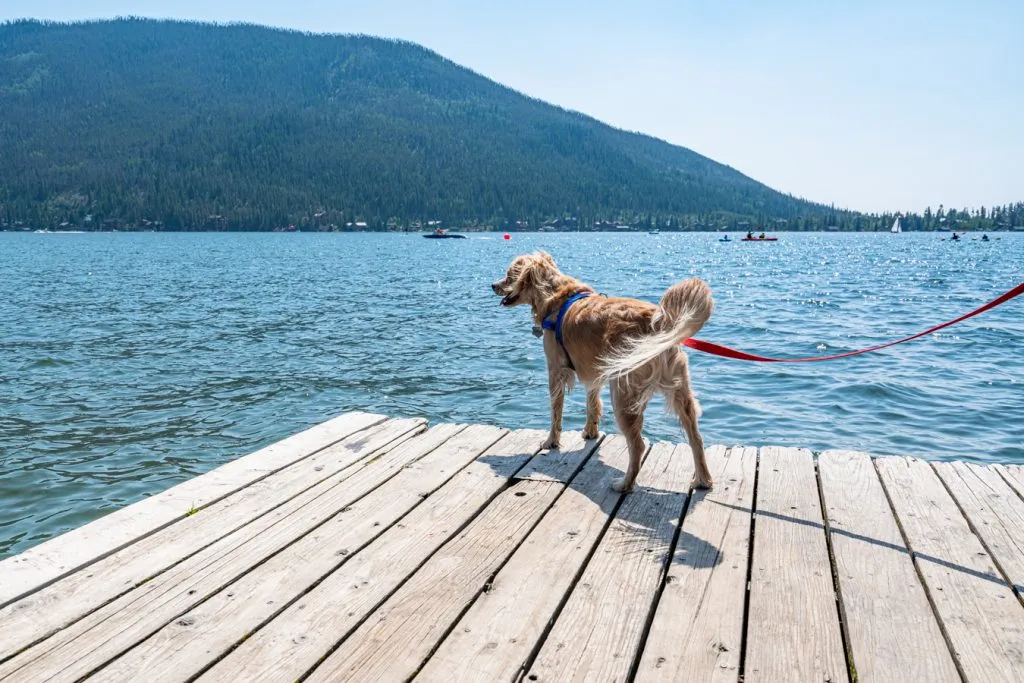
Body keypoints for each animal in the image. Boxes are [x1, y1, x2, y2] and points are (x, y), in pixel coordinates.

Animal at [493, 250, 712, 491]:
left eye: (509, 275)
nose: (493, 285)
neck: (555, 296)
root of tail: (659, 322)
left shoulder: (555, 370)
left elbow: (556, 412)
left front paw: (551, 441)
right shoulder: (594, 369)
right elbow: (592, 403)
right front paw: (590, 432)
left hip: (624, 397)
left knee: (638, 445)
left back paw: (624, 484)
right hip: (680, 392)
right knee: (696, 438)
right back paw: (703, 479)